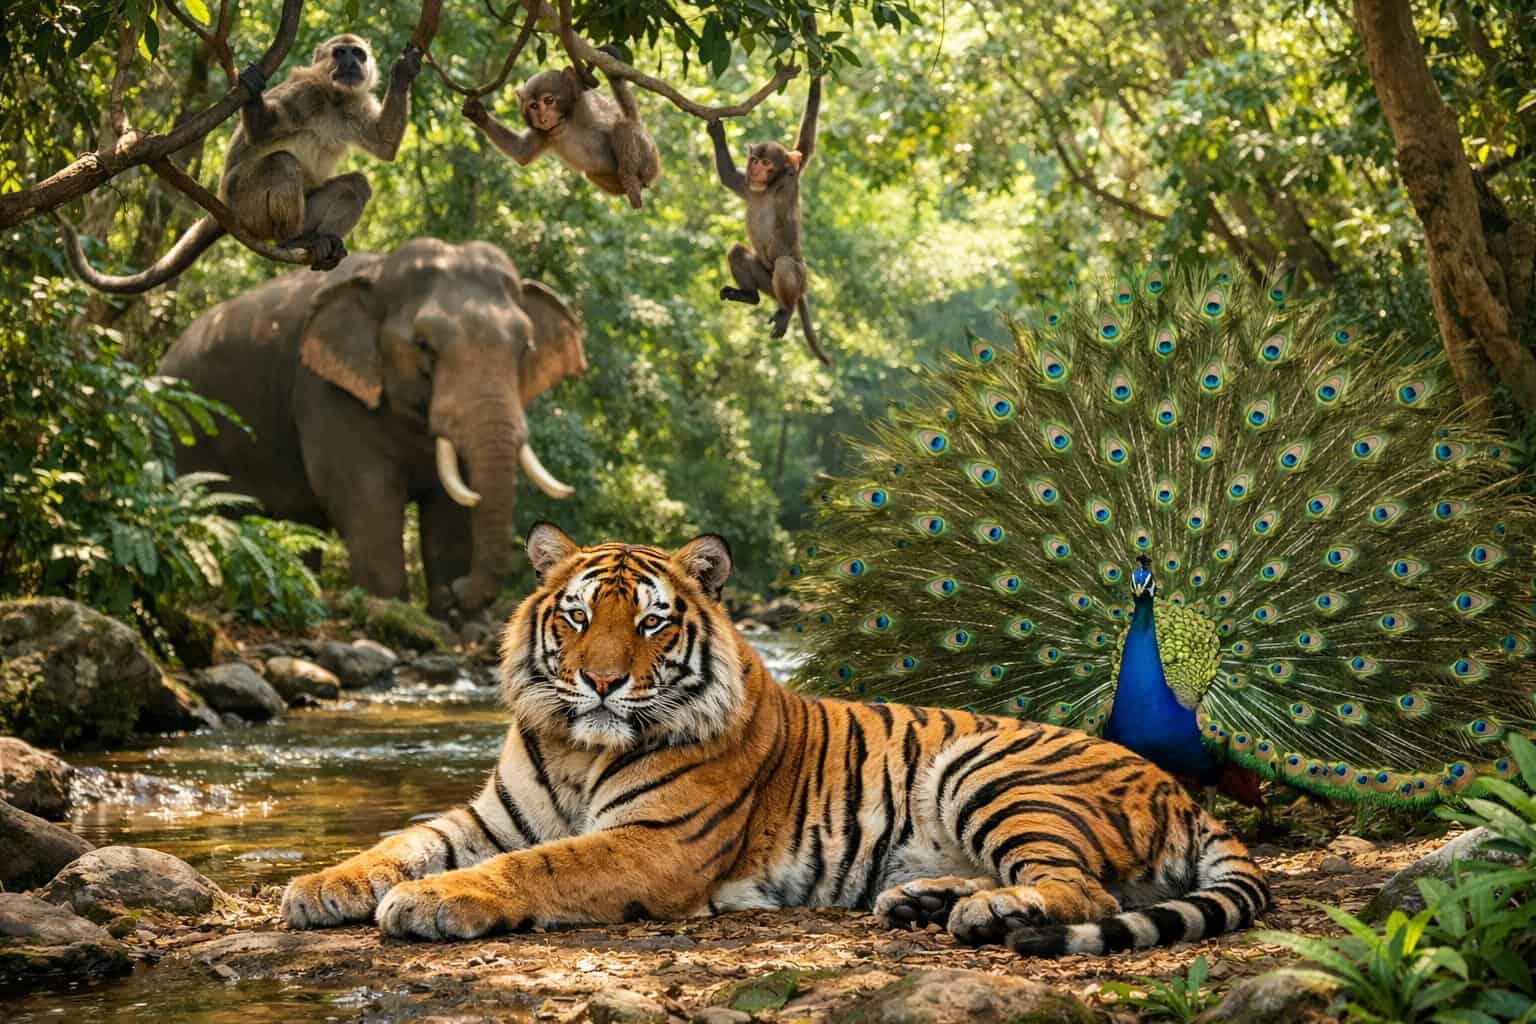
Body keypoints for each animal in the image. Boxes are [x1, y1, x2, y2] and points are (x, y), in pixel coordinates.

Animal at [62, 34, 422, 294]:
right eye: (340, 53)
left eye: (358, 54)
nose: (349, 62)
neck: (333, 99)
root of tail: (226, 205)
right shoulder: (303, 92)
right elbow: (263, 132)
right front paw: (250, 88)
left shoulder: (353, 103)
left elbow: (385, 145)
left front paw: (404, 72)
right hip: (247, 204)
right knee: (282, 162)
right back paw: (291, 241)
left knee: (356, 184)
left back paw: (323, 242)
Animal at [159, 238, 587, 615]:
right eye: (424, 346)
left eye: (526, 347)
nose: (457, 591)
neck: (380, 273)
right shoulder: (323, 390)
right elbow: (364, 493)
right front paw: (392, 608)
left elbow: (449, 505)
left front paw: (456, 620)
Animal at [281, 524, 1270, 956]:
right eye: (575, 617)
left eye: (649, 622)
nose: (600, 681)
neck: (576, 747)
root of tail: (1175, 785)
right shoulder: (494, 815)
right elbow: (405, 840)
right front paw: (321, 887)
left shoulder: (657, 843)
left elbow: (539, 867)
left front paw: (430, 902)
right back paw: (927, 901)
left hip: (990, 771)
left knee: (1081, 888)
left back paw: (984, 914)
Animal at [461, 48, 659, 209]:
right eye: (533, 106)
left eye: (549, 101)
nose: (542, 118)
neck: (566, 121)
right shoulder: (545, 133)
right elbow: (521, 153)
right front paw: (478, 115)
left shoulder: (583, 103)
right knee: (591, 173)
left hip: (650, 157)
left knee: (624, 124)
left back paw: (629, 178)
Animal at [706, 76, 828, 365]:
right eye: (754, 161)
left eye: (765, 163)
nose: (757, 170)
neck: (767, 189)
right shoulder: (748, 187)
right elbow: (728, 176)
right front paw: (717, 134)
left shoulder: (787, 185)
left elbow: (801, 153)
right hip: (766, 282)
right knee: (737, 251)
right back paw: (749, 296)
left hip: (798, 280)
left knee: (784, 264)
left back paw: (787, 311)